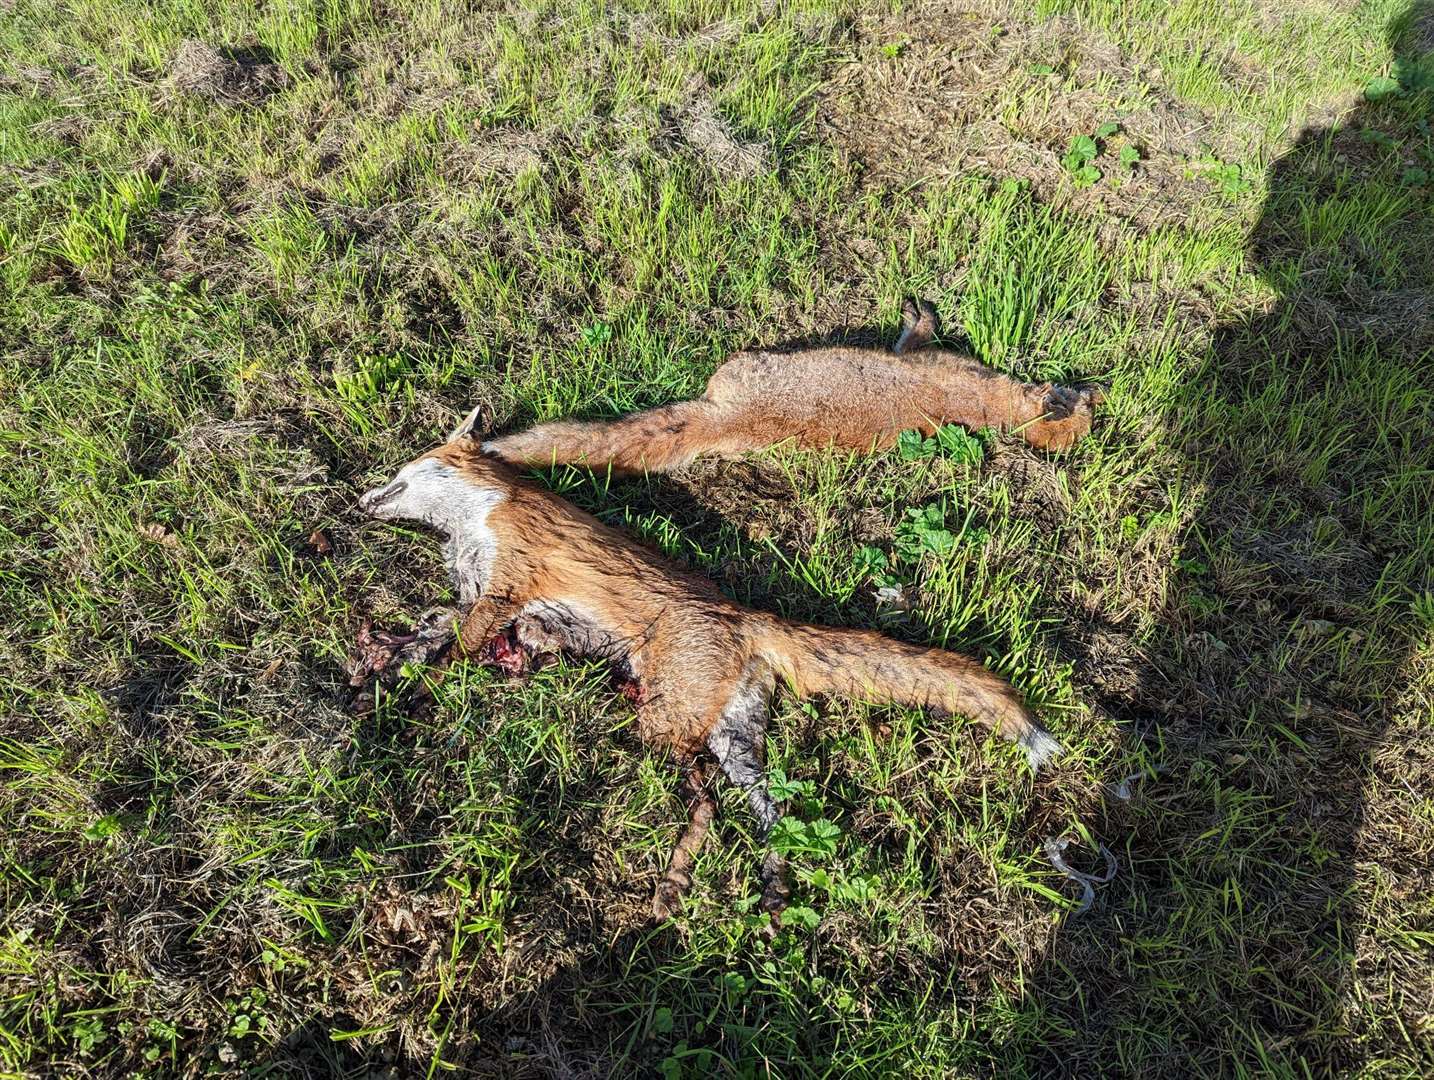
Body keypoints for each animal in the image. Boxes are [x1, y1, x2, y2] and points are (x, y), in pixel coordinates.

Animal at [351, 415, 1061, 923]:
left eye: (405, 467)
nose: (358, 498)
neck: (473, 520)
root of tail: (747, 617)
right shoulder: (484, 600)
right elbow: (433, 634)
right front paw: (382, 661)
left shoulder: (507, 582)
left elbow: (456, 648)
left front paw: (423, 686)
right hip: (732, 739)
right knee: (768, 810)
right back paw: (766, 889)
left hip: (661, 725)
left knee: (708, 806)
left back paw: (675, 883)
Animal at [487, 301, 1101, 473]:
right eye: (1079, 406)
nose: (1089, 393)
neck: (992, 409)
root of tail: (723, 421)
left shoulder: (928, 360)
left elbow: (913, 338)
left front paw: (917, 315)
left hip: (738, 363)